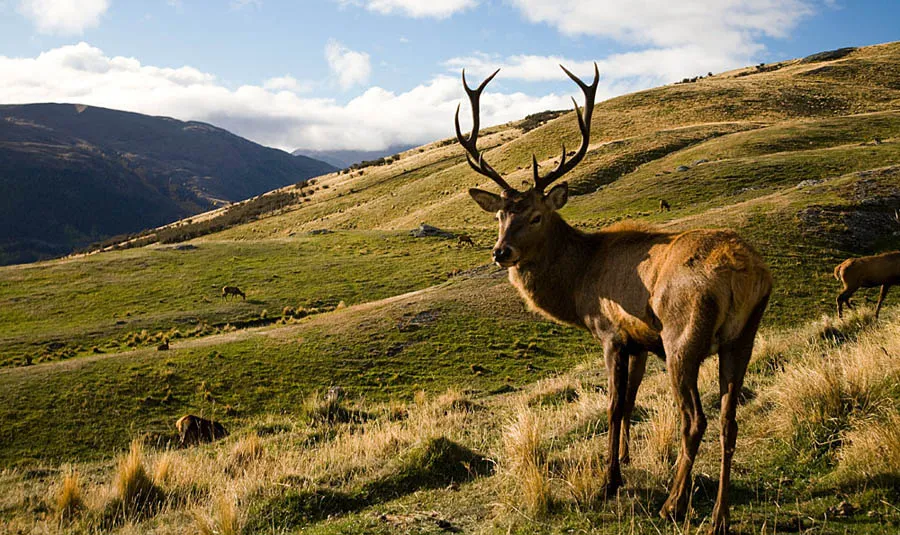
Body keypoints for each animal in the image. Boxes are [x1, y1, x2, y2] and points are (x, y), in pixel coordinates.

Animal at [458, 65, 772, 532]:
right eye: (499, 214)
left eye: (536, 216)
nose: (502, 252)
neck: (579, 283)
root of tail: (745, 273)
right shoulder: (640, 340)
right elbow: (630, 403)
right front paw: (624, 460)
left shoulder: (611, 334)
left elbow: (612, 405)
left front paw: (609, 482)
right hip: (743, 338)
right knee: (729, 419)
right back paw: (719, 516)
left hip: (683, 338)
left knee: (694, 419)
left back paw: (673, 504)